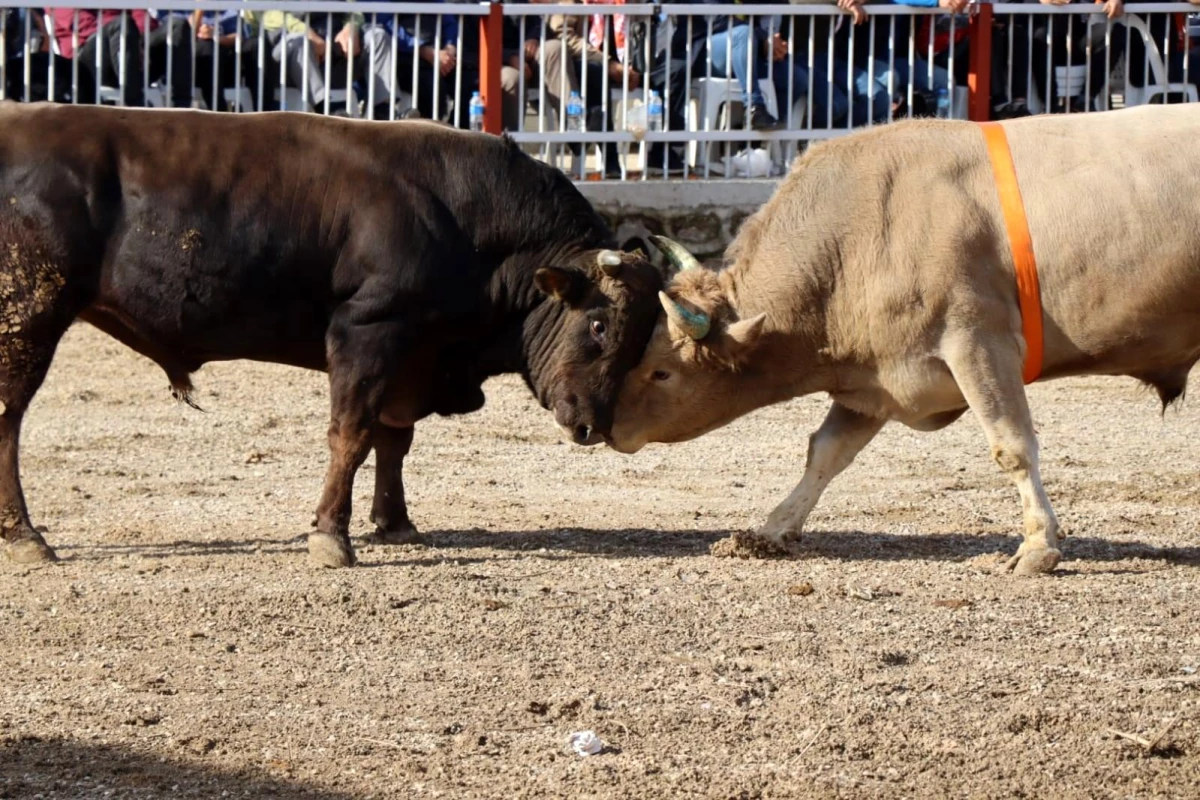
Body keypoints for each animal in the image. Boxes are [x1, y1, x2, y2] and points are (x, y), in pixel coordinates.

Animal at [0, 101, 662, 568]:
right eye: (598, 323)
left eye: (642, 342)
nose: (593, 427)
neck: (468, 222)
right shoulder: (367, 332)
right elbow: (352, 435)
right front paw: (331, 537)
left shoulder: (411, 355)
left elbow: (394, 441)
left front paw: (394, 522)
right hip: (28, 319)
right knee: (9, 420)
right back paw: (26, 536)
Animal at [604, 103, 1200, 575]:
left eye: (661, 370)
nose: (607, 429)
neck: (863, 230)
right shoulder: (872, 383)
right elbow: (825, 453)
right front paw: (771, 529)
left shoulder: (978, 343)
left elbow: (1012, 447)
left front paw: (1038, 546)